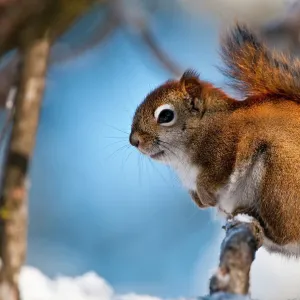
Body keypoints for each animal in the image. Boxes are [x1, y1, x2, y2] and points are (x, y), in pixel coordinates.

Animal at [129, 24, 300, 258]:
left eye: (165, 116)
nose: (134, 140)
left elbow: (217, 172)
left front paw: (205, 194)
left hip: (280, 180)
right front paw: (200, 200)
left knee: (287, 233)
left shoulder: (226, 145)